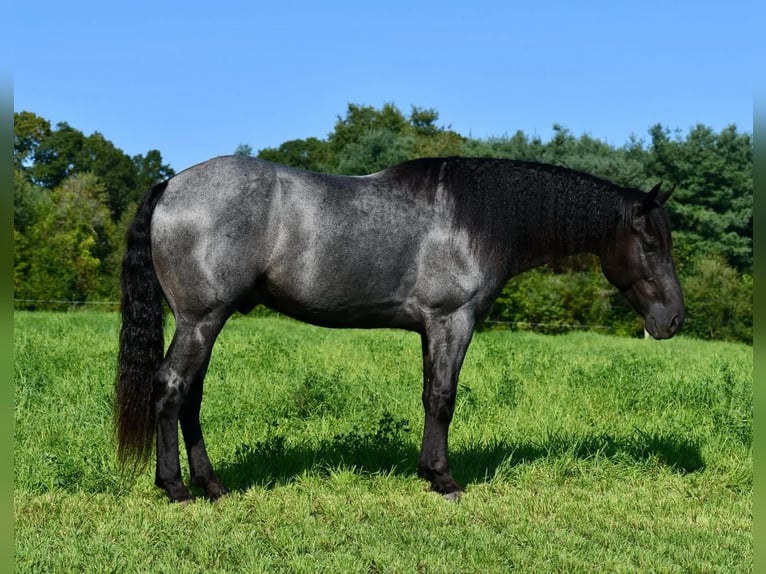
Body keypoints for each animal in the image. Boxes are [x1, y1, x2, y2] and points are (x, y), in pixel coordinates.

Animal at [114, 155, 684, 502]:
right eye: (650, 243)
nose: (674, 319)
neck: (477, 219)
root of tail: (171, 185)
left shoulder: (431, 329)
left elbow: (430, 395)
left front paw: (428, 471)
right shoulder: (453, 320)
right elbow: (444, 398)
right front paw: (445, 480)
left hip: (206, 322)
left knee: (190, 395)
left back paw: (211, 485)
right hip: (201, 320)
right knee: (171, 387)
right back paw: (176, 488)